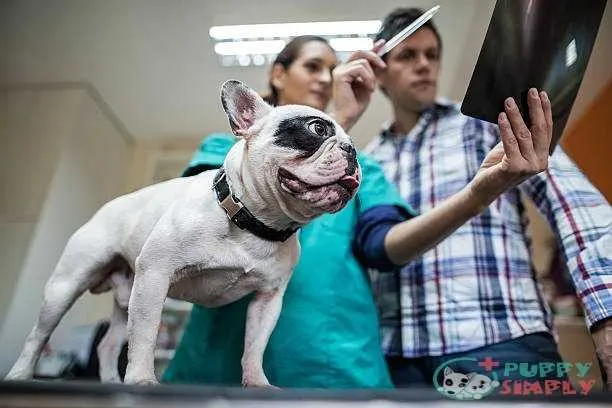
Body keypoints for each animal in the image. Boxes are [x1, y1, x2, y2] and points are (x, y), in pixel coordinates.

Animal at [4, 80, 360, 388]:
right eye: (317, 129)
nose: (352, 150)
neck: (254, 221)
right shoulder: (155, 275)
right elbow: (146, 334)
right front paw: (141, 380)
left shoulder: (268, 300)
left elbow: (254, 346)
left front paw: (257, 383)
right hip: (66, 285)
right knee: (39, 334)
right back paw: (20, 374)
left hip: (127, 294)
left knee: (108, 344)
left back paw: (110, 381)